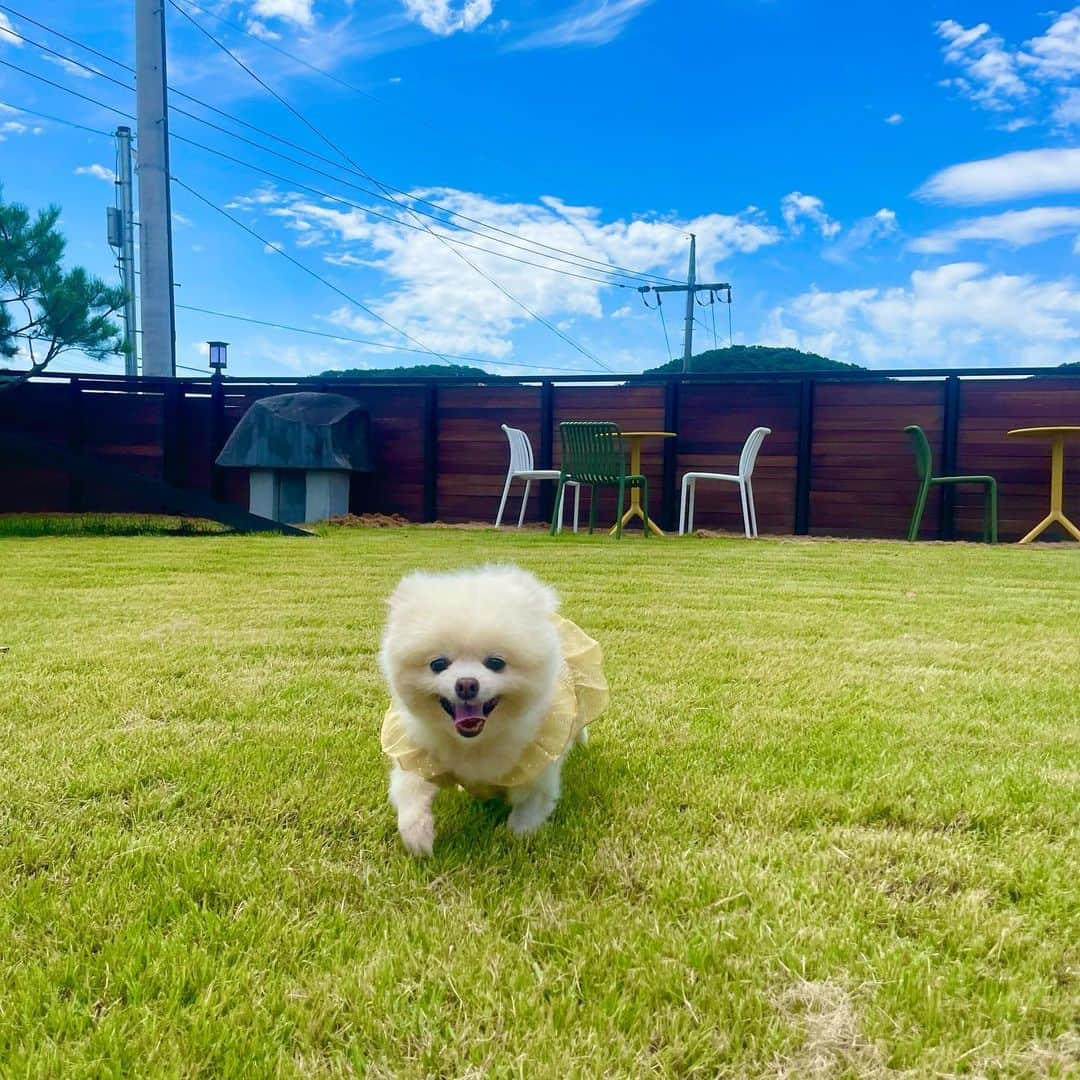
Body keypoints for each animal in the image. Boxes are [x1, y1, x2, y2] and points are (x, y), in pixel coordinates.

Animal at [378, 570, 609, 855]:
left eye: (496, 663)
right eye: (438, 664)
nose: (466, 684)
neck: (475, 744)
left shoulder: (537, 772)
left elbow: (528, 812)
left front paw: (514, 842)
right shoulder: (417, 754)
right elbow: (409, 791)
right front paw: (418, 836)